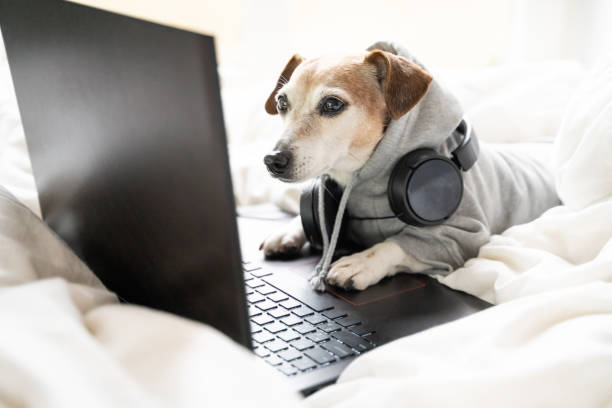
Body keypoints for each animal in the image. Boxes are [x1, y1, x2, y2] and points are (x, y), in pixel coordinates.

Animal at [258, 40, 560, 290]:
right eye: (282, 102)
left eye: (332, 104)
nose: (272, 161)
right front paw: (288, 230)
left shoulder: (465, 236)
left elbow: (395, 245)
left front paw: (360, 263)